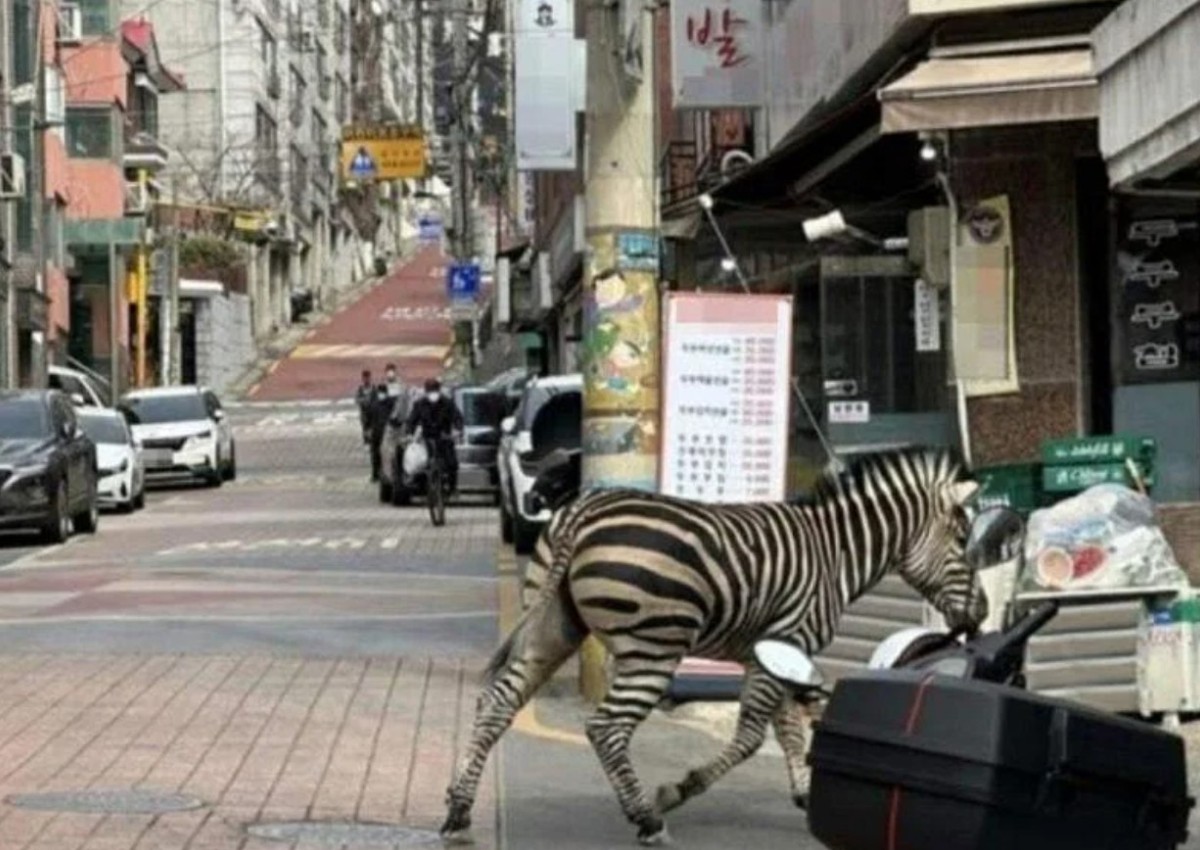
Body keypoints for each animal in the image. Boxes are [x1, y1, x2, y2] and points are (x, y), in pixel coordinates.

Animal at [442, 447, 985, 845]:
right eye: (963, 539)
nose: (979, 614)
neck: (836, 554)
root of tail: (581, 512)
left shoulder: (780, 650)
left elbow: (790, 728)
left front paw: (805, 793)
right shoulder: (785, 643)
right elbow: (753, 736)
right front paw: (677, 790)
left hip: (551, 627)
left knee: (497, 703)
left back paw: (458, 810)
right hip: (655, 646)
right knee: (606, 726)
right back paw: (647, 819)